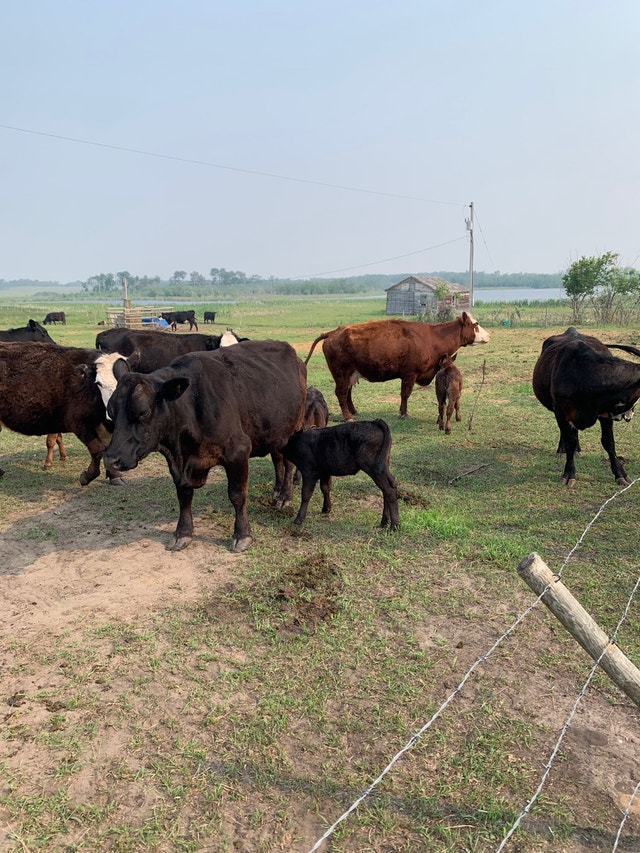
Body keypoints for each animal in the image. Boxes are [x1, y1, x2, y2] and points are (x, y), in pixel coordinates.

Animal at [0, 343, 130, 483]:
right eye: (99, 384)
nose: (113, 410)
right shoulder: (78, 423)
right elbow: (97, 450)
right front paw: (87, 476)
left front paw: (114, 476)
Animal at [103, 340, 307, 553]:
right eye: (110, 410)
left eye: (143, 411)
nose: (111, 459)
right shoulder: (177, 463)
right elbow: (184, 496)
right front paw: (182, 533)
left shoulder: (238, 451)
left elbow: (237, 495)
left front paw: (242, 534)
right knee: (277, 457)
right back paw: (277, 490)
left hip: (293, 429)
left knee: (288, 462)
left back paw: (285, 495)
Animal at [305, 313, 490, 420]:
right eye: (476, 324)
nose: (489, 335)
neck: (433, 338)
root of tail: (333, 332)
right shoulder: (409, 374)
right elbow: (405, 394)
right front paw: (404, 413)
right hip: (341, 374)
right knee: (341, 394)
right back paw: (348, 416)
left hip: (350, 374)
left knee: (347, 393)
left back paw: (354, 411)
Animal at [532, 327, 640, 487]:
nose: (629, 414)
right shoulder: (561, 411)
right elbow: (569, 441)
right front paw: (569, 473)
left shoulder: (605, 414)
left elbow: (609, 443)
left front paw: (620, 474)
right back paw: (561, 450)